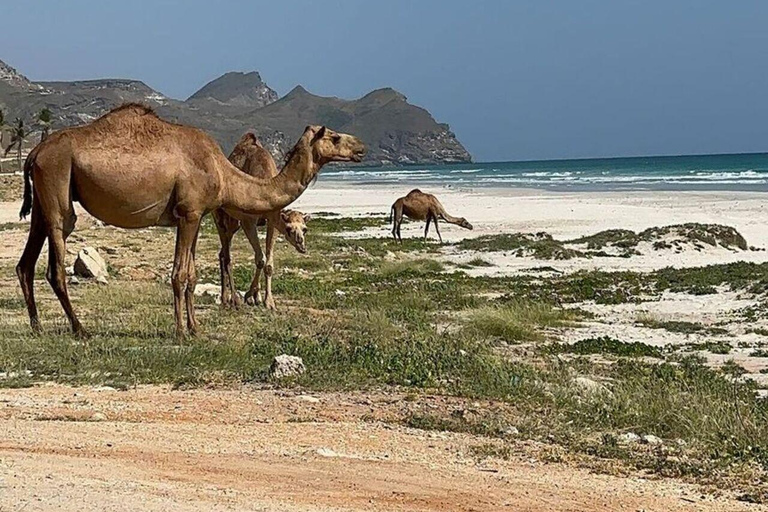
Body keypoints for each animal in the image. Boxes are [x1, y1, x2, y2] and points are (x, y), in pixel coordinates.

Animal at [212, 132, 310, 308]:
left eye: (305, 229)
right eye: (289, 229)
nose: (301, 245)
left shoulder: (272, 222)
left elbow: (268, 263)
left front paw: (266, 301)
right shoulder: (248, 221)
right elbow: (260, 260)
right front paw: (249, 296)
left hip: (233, 225)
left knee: (223, 252)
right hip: (222, 218)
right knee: (225, 254)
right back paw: (228, 299)